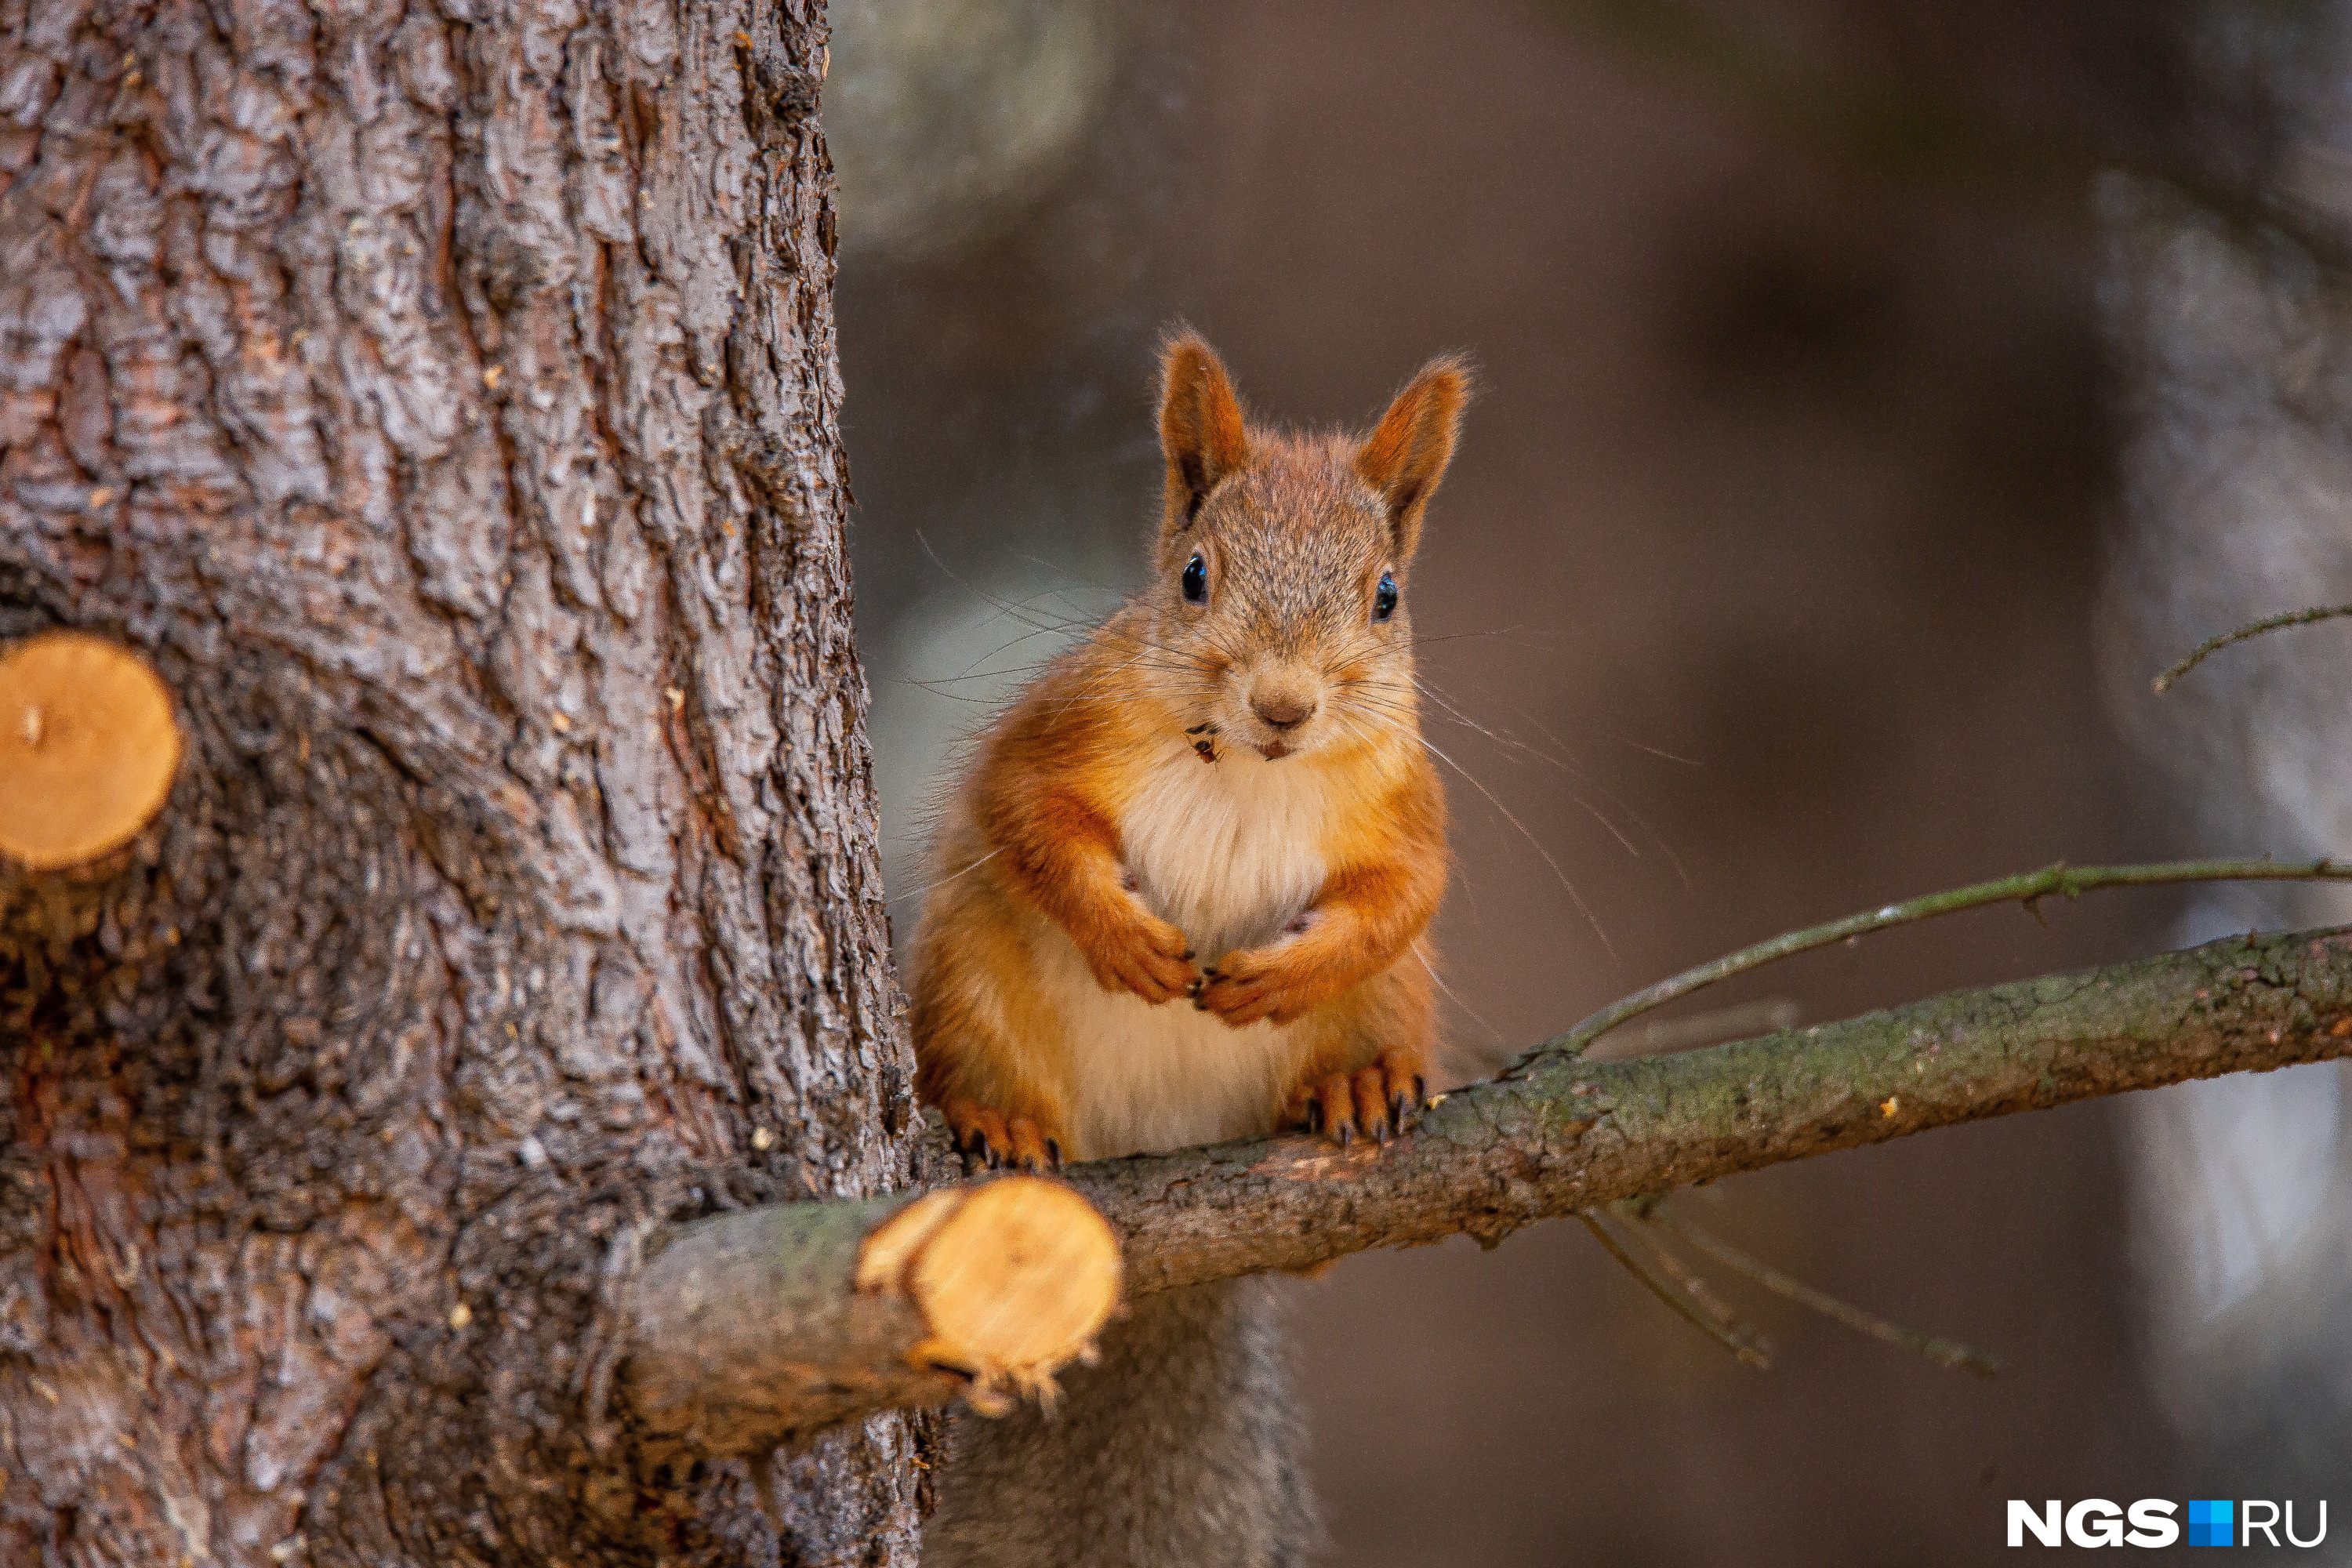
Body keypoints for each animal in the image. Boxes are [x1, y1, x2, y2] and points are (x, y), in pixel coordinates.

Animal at [908, 333, 1458, 1166]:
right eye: (1194, 576)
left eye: (1387, 597)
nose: (1284, 707)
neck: (1246, 769)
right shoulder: (1066, 724)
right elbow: (1022, 805)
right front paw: (1125, 938)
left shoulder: (1402, 796)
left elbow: (1407, 892)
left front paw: (1283, 978)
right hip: (970, 981)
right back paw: (1001, 1120)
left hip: (1388, 1000)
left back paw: (1355, 1083)